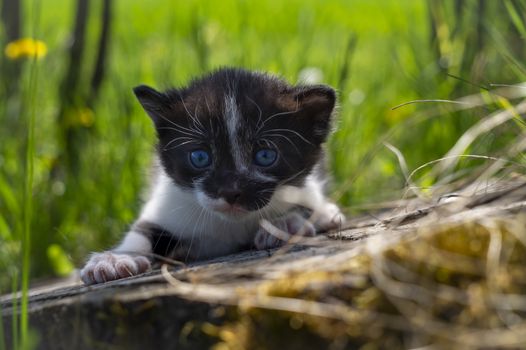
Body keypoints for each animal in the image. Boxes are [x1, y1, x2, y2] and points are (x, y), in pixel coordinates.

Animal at [80, 67, 346, 284]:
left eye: (265, 156)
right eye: (199, 157)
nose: (231, 192)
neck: (230, 226)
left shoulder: (304, 185)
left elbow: (306, 202)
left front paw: (283, 224)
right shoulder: (167, 203)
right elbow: (141, 232)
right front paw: (114, 259)